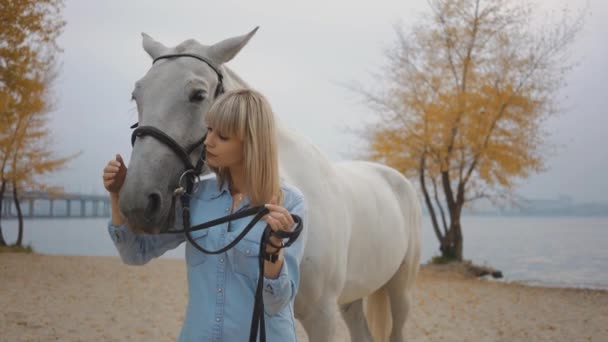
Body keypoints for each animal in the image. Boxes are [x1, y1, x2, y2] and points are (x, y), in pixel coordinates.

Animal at [120, 28, 422, 340]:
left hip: (399, 291)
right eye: (136, 95)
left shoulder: (322, 315)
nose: (138, 202)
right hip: (352, 299)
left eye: (198, 95)